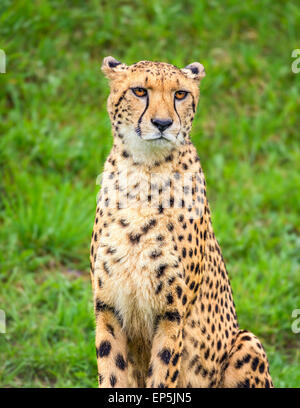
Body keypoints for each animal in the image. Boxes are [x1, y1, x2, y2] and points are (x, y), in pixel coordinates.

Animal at [89, 55, 274, 388]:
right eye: (139, 91)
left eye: (180, 94)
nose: (163, 124)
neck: (144, 172)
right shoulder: (107, 309)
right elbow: (112, 373)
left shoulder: (172, 315)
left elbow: (164, 373)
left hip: (246, 342)